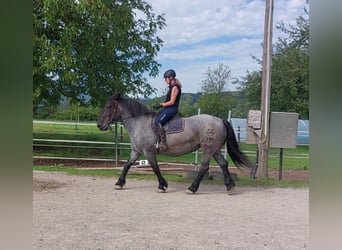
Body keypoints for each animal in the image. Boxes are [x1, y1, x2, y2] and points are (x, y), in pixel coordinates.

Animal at [97, 93, 252, 194]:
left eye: (109, 106)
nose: (99, 125)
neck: (139, 122)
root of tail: (220, 120)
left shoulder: (148, 151)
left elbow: (155, 168)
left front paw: (162, 186)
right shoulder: (136, 151)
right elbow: (126, 166)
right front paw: (119, 183)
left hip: (208, 149)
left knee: (204, 167)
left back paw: (192, 188)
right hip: (215, 149)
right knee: (223, 164)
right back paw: (230, 187)